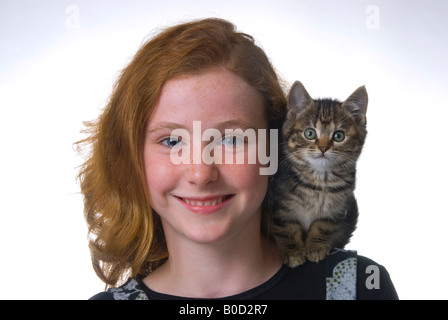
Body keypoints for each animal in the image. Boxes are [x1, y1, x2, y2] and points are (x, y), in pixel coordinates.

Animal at [270, 81, 368, 266]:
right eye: (310, 133)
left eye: (338, 136)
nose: (323, 148)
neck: (319, 181)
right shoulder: (280, 205)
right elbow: (286, 228)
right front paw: (293, 251)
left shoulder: (335, 209)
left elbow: (323, 226)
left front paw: (316, 247)